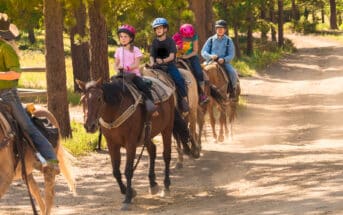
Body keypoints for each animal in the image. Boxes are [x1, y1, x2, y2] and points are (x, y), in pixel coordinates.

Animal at [76, 77, 176, 210]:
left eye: (99, 99)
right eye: (83, 100)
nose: (89, 126)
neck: (116, 111)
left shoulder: (130, 143)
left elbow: (128, 170)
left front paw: (128, 198)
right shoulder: (112, 144)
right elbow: (116, 171)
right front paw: (130, 192)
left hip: (167, 129)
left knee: (166, 155)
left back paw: (166, 186)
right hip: (147, 135)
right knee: (153, 150)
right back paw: (153, 184)